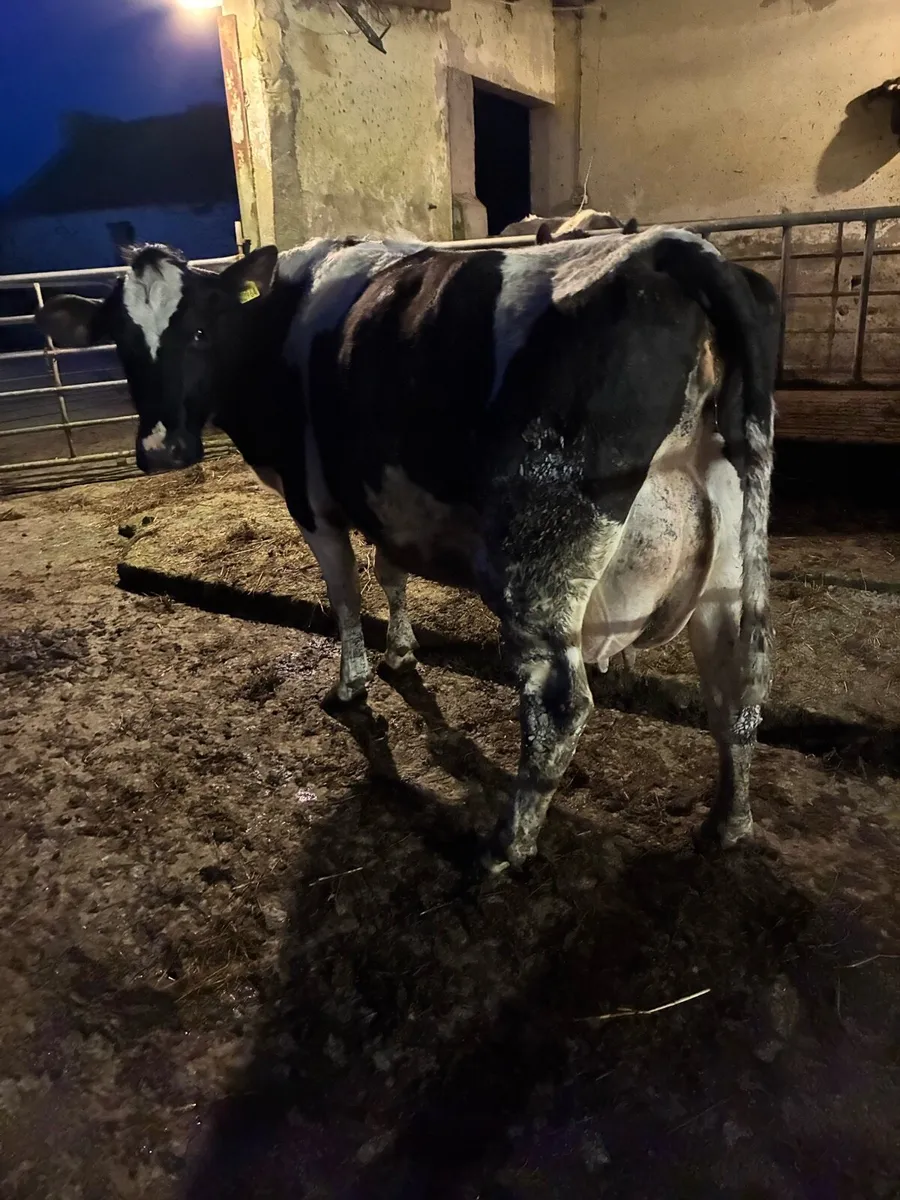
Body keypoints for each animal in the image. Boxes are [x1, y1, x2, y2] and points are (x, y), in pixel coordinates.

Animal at [35, 227, 779, 872]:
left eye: (198, 329)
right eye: (121, 343)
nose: (162, 450)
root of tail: (672, 248)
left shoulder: (314, 501)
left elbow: (342, 593)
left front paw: (351, 682)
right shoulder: (383, 497)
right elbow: (390, 570)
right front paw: (401, 650)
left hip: (542, 550)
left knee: (559, 702)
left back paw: (506, 846)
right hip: (733, 553)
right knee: (741, 675)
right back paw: (729, 822)